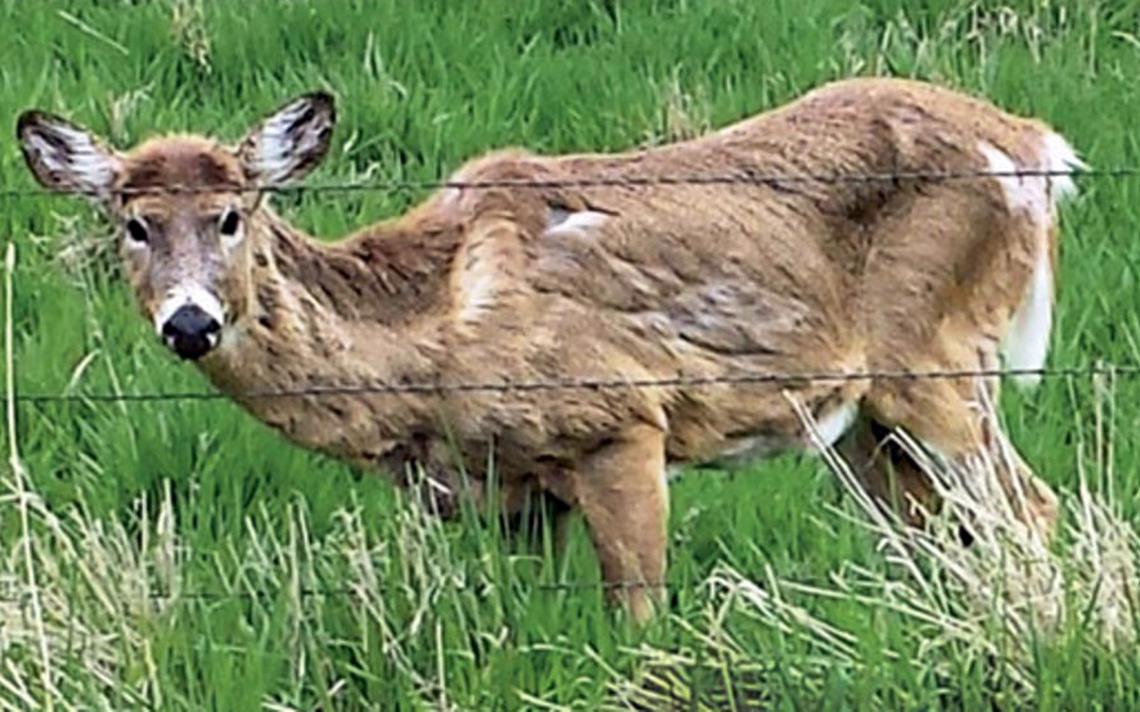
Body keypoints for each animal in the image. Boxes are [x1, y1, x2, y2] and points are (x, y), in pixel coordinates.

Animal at [17, 77, 1081, 621]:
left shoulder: (618, 420)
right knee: (936, 531)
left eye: (233, 214)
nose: (190, 322)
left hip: (939, 357)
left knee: (1031, 508)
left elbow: (638, 615)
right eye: (132, 224)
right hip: (860, 418)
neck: (430, 343)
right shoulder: (519, 490)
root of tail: (1037, 147)